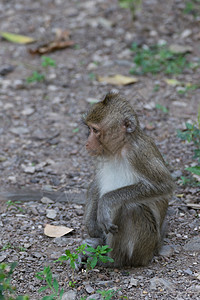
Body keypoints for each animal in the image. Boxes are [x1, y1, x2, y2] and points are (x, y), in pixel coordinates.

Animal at [81, 91, 173, 268]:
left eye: (95, 130)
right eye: (89, 129)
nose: (87, 144)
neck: (118, 150)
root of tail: (156, 246)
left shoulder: (139, 154)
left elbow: (164, 185)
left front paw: (106, 201)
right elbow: (96, 183)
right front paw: (91, 225)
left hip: (146, 244)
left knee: (131, 208)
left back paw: (109, 260)